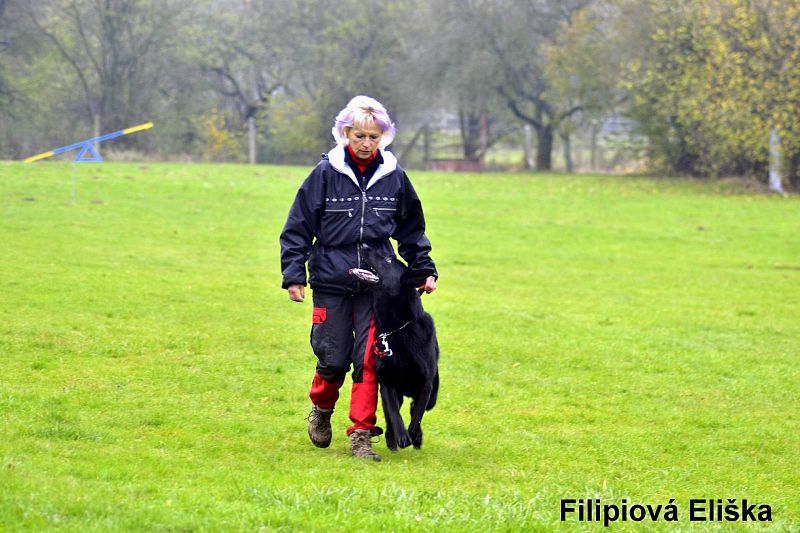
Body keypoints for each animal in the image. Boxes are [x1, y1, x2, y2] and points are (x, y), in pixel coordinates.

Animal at [348, 245, 438, 448]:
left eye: (389, 261)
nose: (363, 245)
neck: (397, 328)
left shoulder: (425, 387)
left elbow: (416, 417)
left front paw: (413, 435)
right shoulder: (387, 384)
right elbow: (394, 414)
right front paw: (399, 436)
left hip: (433, 393)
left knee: (418, 408)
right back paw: (391, 437)